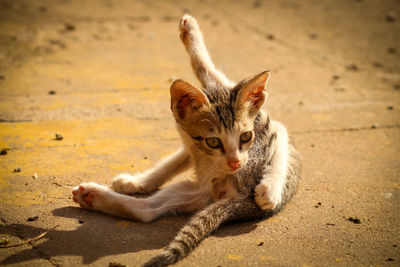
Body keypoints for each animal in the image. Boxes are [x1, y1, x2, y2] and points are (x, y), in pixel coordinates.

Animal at [71, 15, 300, 267]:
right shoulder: (192, 142)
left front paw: (269, 189)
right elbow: (171, 163)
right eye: (213, 141)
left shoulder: (264, 124)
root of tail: (242, 200)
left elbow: (205, 68)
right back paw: (93, 196)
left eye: (245, 137)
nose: (235, 163)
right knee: (148, 210)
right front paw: (137, 182)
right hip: (195, 192)